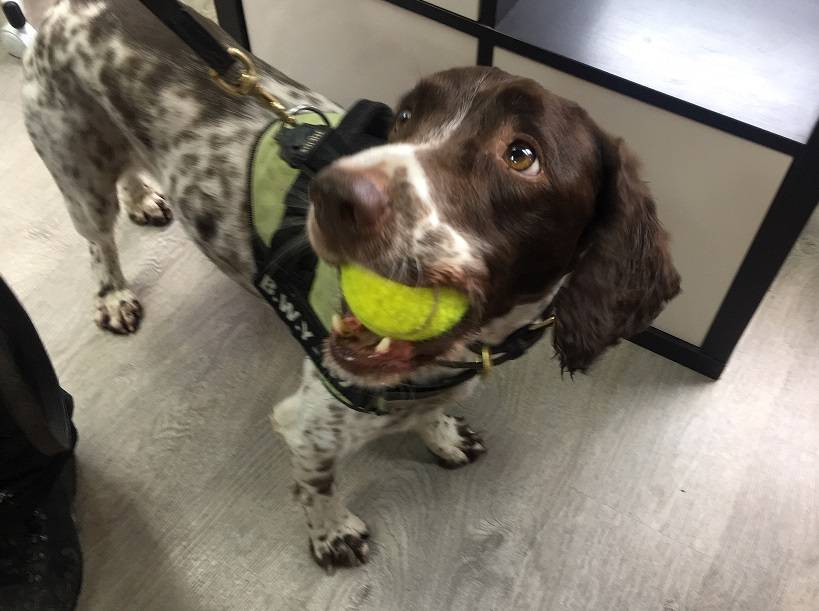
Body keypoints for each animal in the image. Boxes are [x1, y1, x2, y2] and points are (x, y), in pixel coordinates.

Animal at [24, 1, 680, 572]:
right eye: (406, 116)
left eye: (522, 155)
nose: (332, 195)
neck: (457, 355)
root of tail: (68, 9)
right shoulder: (310, 426)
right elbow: (317, 486)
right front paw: (333, 534)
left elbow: (432, 416)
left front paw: (442, 437)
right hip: (74, 166)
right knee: (98, 240)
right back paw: (113, 293)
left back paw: (141, 197)